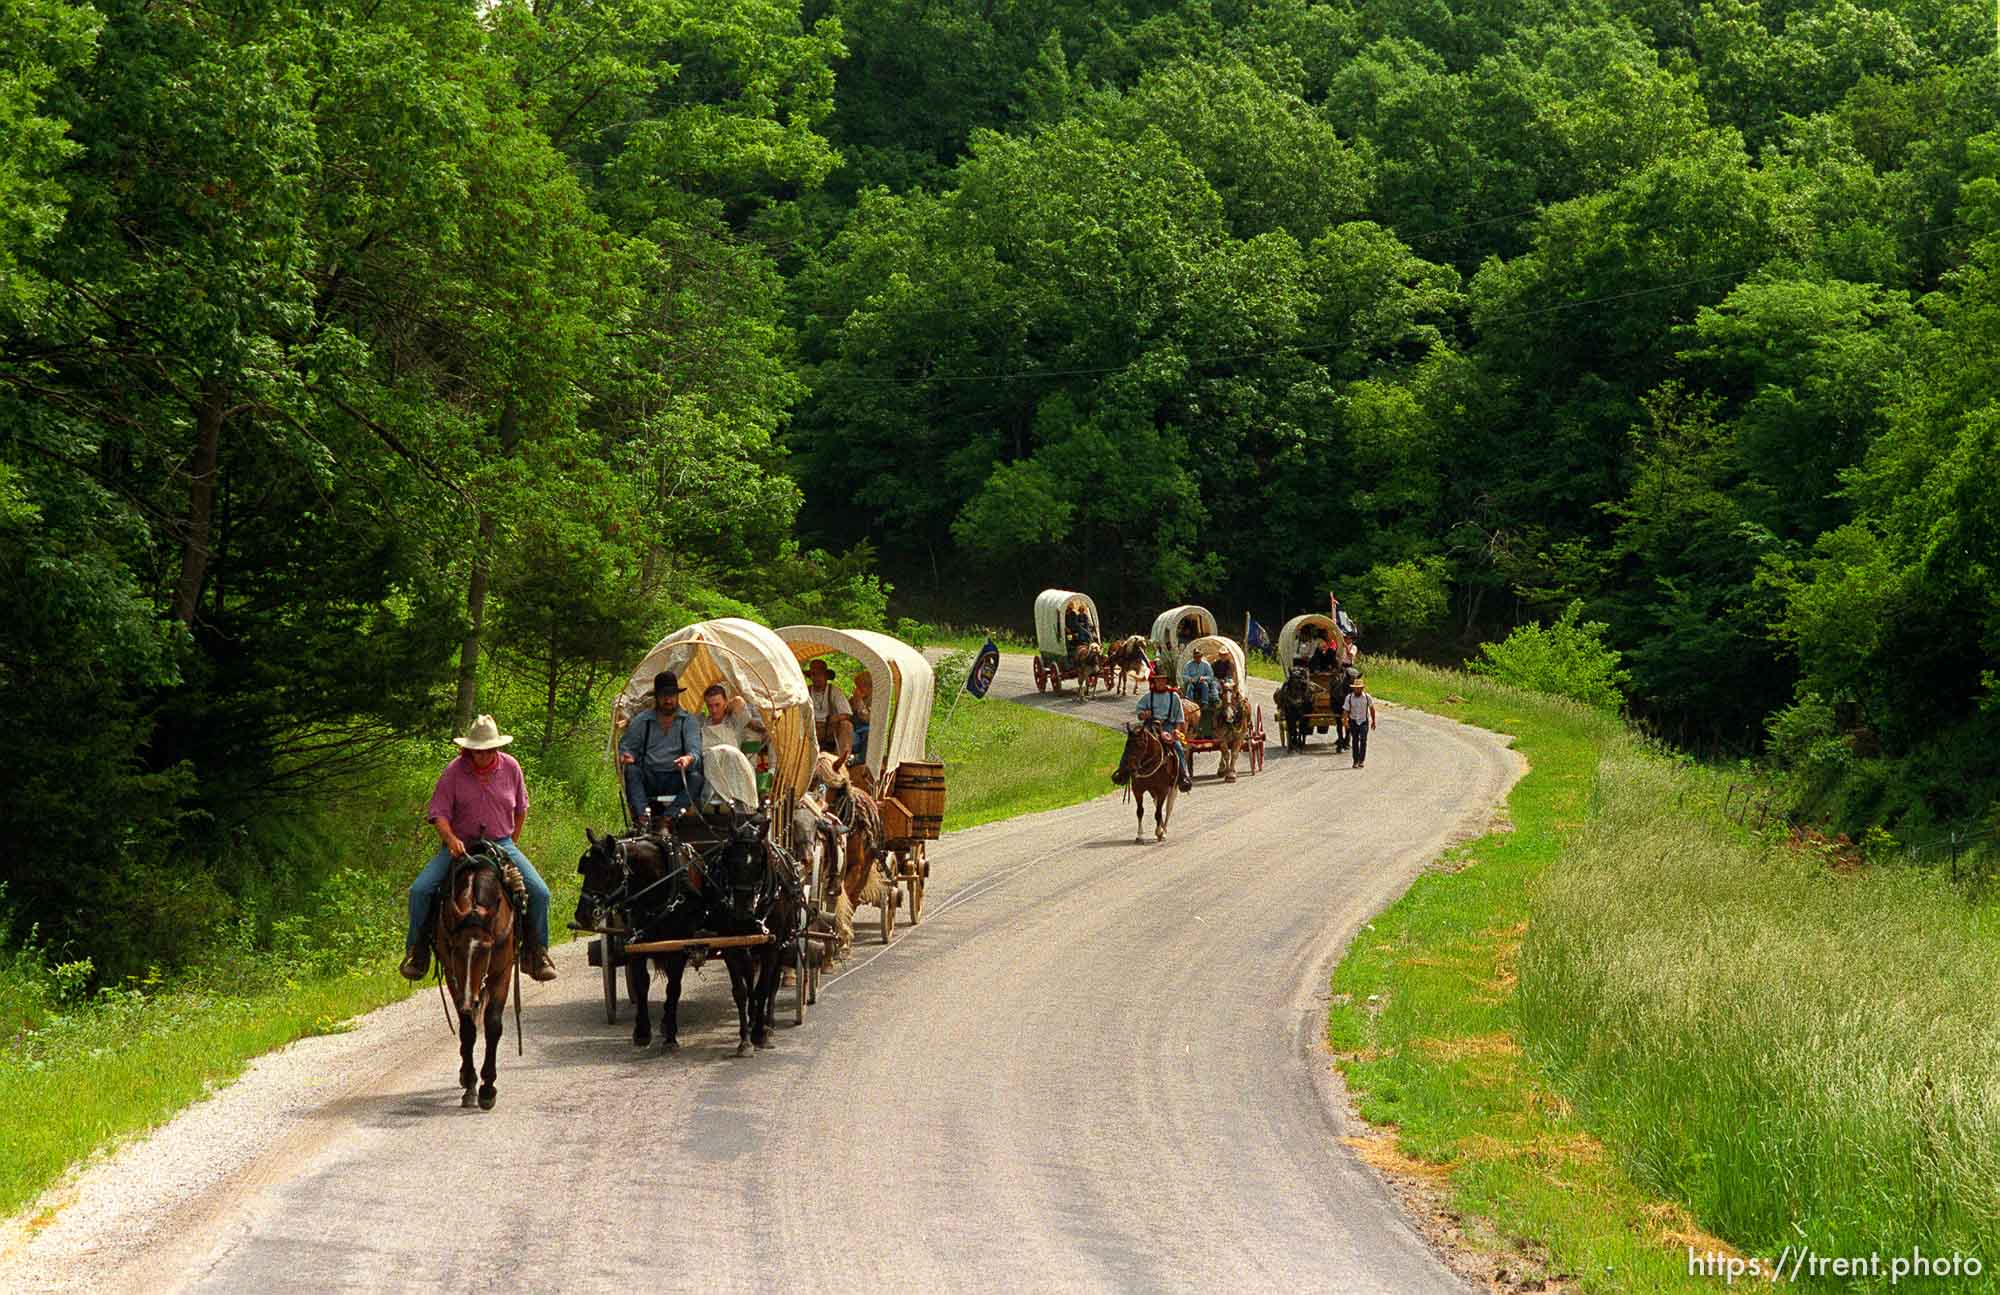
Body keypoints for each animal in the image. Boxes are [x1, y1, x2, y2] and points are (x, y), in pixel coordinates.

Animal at [434, 843, 520, 1111]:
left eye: (486, 950)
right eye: (455, 949)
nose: (467, 1000)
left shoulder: (502, 973)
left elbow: (493, 1025)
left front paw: (488, 1089)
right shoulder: (453, 976)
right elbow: (467, 1029)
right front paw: (471, 1085)